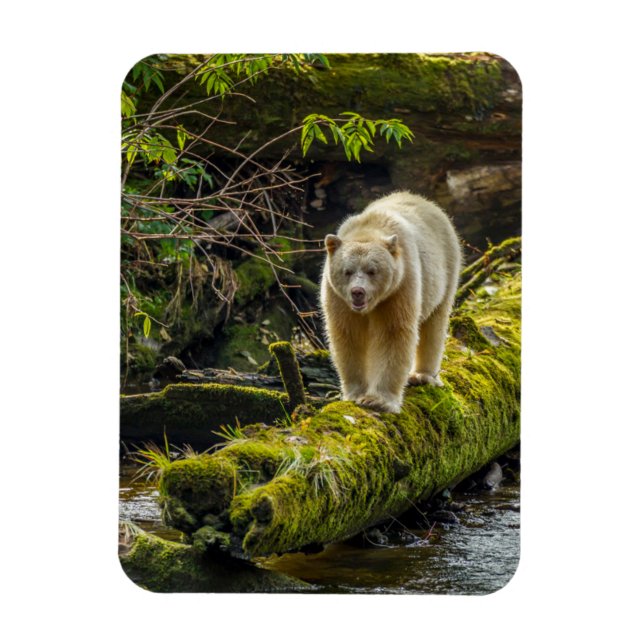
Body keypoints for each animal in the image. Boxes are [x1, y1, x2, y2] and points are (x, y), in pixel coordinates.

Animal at [320, 191, 462, 414]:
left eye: (372, 271)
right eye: (347, 271)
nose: (357, 292)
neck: (368, 230)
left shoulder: (400, 288)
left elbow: (393, 333)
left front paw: (378, 400)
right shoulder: (338, 298)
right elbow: (348, 337)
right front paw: (356, 394)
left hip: (444, 272)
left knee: (434, 324)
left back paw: (422, 375)